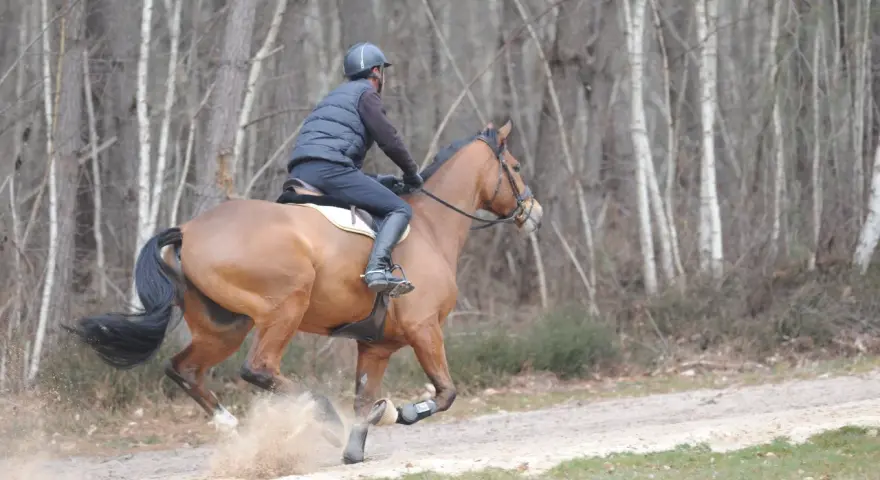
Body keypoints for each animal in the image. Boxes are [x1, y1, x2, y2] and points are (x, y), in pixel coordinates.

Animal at [64, 119, 543, 465]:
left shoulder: (377, 346)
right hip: (285, 307)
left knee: (184, 369)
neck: (428, 226)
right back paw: (320, 416)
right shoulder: (425, 329)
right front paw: (398, 412)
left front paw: (356, 447)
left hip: (224, 328)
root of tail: (188, 230)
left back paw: (231, 425)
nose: (534, 213)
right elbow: (444, 393)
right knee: (258, 369)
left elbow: (365, 398)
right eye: (517, 167)